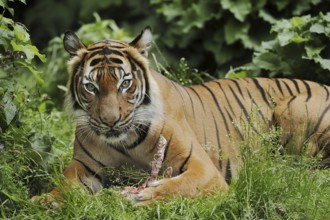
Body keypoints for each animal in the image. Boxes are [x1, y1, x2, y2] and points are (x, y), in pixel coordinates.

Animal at [34, 26, 330, 204]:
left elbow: (173, 187)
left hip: (292, 109)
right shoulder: (83, 167)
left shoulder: (204, 170)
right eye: (91, 87)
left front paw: (139, 198)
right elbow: (64, 186)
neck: (124, 143)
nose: (110, 122)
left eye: (125, 84)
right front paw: (46, 202)